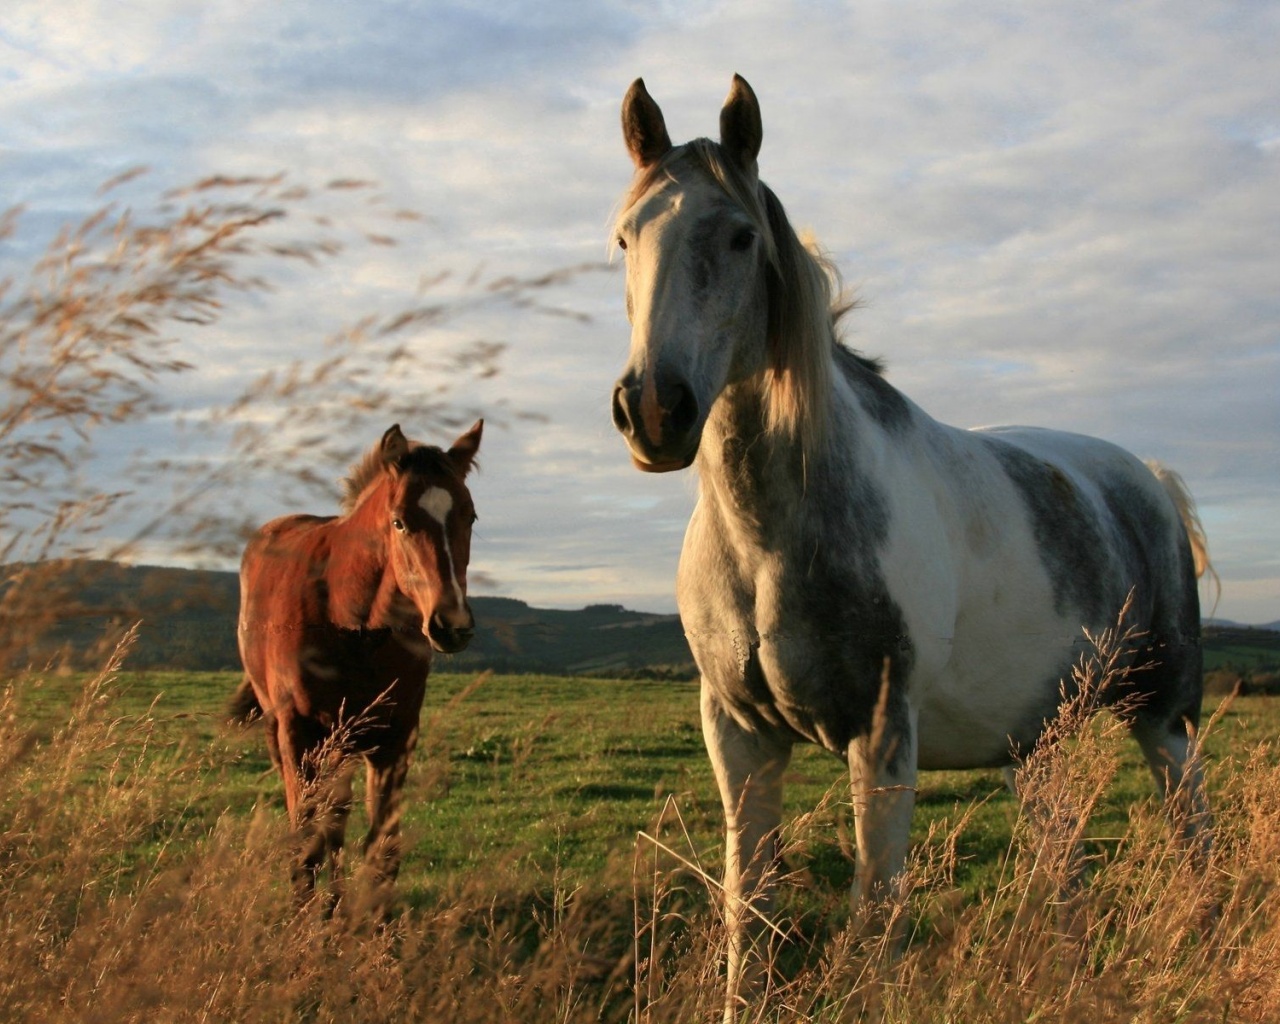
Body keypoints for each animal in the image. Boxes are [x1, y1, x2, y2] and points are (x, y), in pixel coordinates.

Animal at [609, 73, 1208, 1013]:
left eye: (740, 235)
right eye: (625, 237)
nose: (654, 410)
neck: (770, 541)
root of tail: (1144, 477)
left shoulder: (883, 734)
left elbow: (876, 917)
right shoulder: (738, 735)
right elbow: (751, 912)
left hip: (1166, 718)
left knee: (1195, 844)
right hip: (1037, 745)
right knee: (1063, 859)